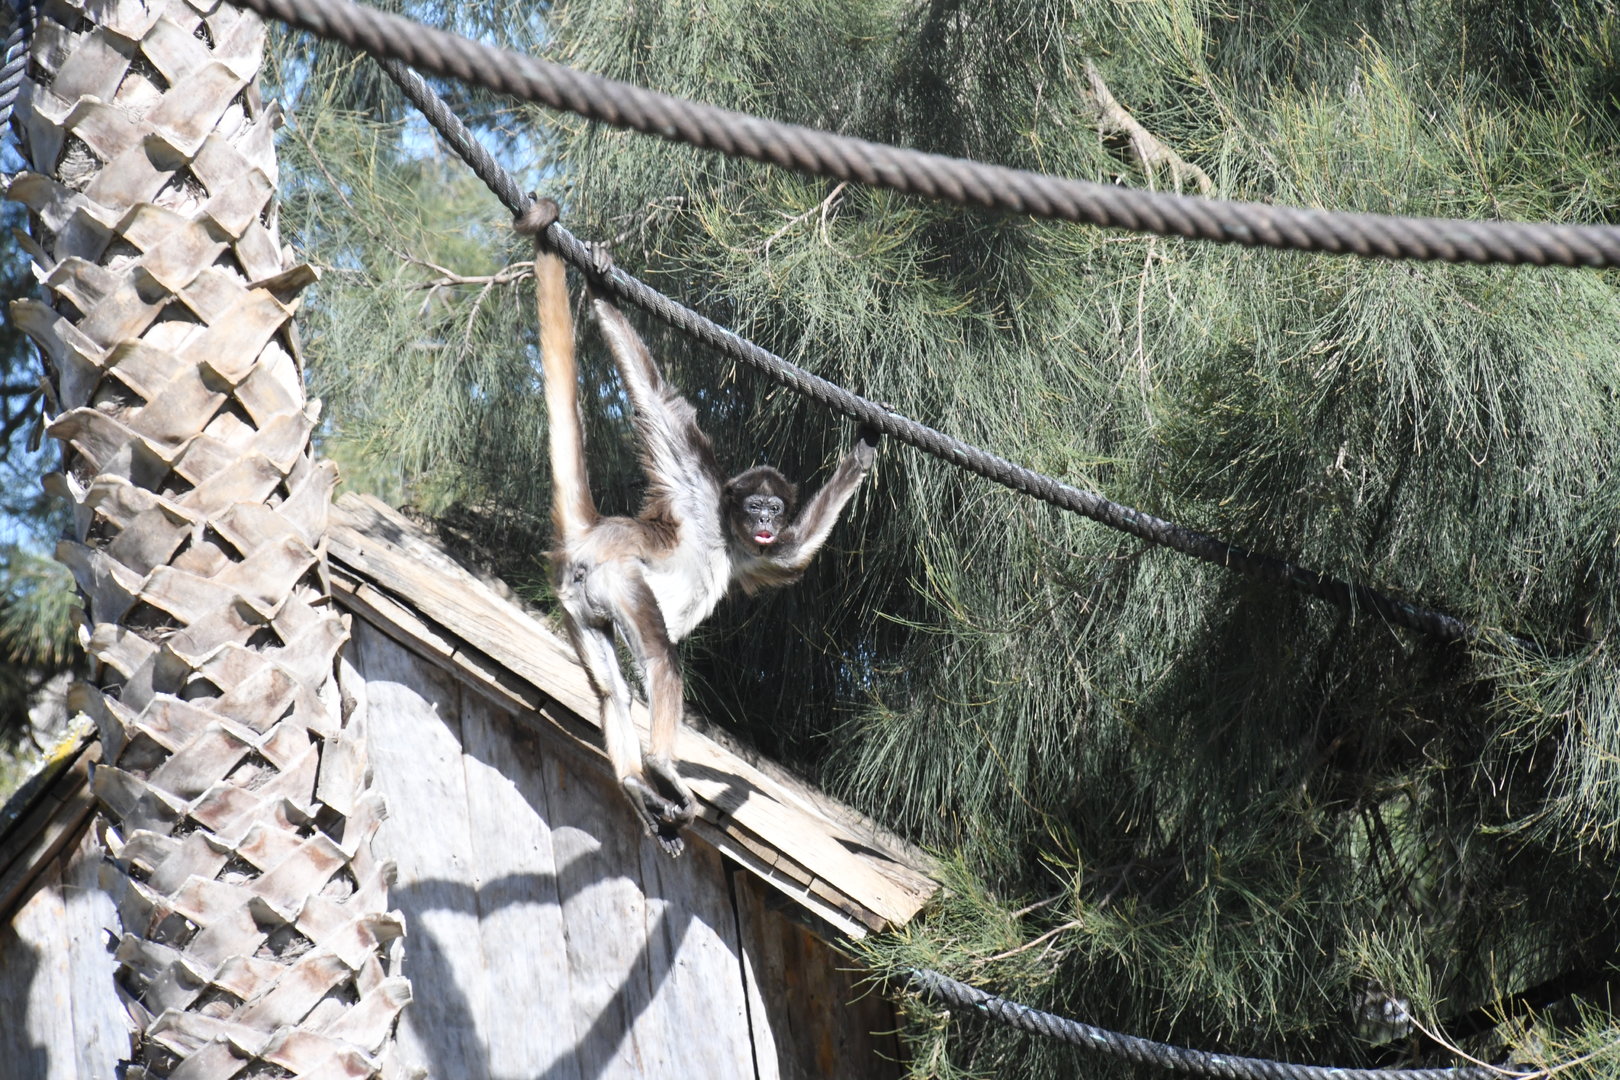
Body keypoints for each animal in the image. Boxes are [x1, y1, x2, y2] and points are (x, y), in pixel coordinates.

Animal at [516, 198, 879, 856]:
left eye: (773, 510)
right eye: (755, 505)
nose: (764, 521)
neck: (723, 531)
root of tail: (595, 534)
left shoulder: (750, 552)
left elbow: (790, 555)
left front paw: (864, 448)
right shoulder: (696, 487)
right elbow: (659, 403)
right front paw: (602, 287)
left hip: (577, 604)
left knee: (612, 691)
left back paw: (634, 783)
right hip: (615, 578)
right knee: (661, 659)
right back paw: (659, 765)